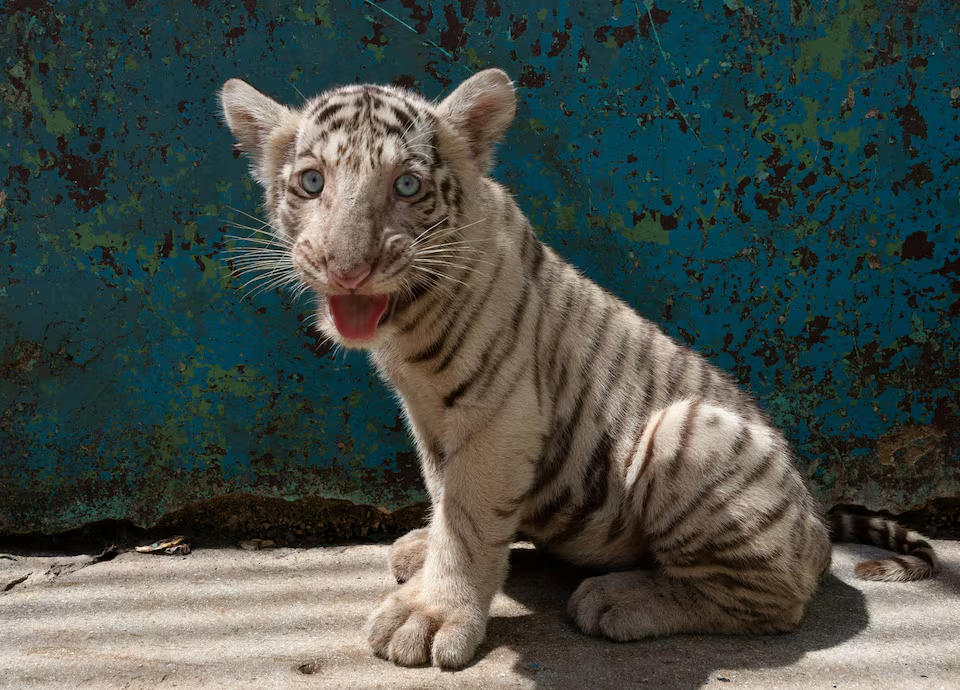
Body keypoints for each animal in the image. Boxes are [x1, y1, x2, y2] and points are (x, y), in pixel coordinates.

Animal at [218, 68, 939, 669]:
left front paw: (431, 615)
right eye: (312, 182)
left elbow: (468, 519)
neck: (410, 315)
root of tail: (814, 522)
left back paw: (620, 600)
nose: (348, 269)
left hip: (688, 435)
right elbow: (444, 492)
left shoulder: (498, 416)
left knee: (774, 599)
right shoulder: (429, 417)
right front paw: (427, 556)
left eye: (407, 185)